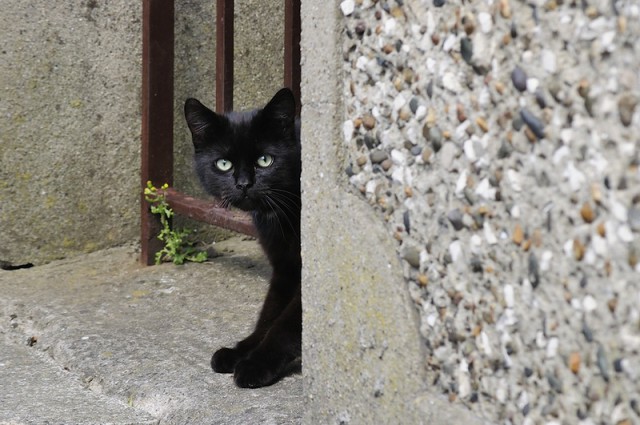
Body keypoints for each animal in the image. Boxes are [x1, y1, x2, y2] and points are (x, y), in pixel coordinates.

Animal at [185, 88, 302, 388]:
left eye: (265, 160)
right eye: (223, 164)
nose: (244, 185)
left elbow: (286, 324)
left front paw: (257, 364)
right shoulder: (285, 267)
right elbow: (269, 314)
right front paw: (240, 351)